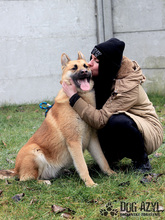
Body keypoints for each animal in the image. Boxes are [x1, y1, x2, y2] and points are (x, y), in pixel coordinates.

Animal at [0, 52, 114, 186]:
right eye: (74, 68)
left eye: (86, 66)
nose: (85, 71)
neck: (80, 99)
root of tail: (16, 170)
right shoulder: (74, 141)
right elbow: (82, 166)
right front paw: (90, 184)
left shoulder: (93, 140)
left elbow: (103, 160)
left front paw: (112, 174)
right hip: (35, 151)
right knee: (26, 179)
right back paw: (43, 182)